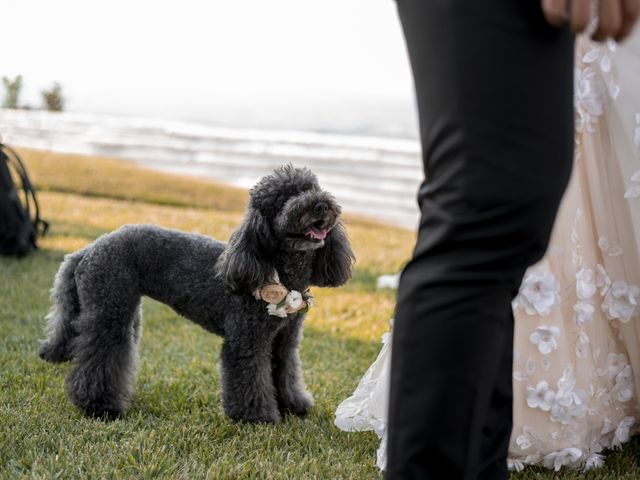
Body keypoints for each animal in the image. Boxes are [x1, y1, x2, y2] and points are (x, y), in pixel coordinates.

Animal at [37, 167, 356, 422]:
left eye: (311, 187)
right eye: (284, 199)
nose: (320, 205)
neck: (275, 267)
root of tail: (88, 249)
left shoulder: (285, 339)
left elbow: (285, 371)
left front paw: (293, 405)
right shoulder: (246, 340)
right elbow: (249, 377)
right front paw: (256, 416)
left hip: (123, 311)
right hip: (109, 311)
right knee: (100, 357)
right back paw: (99, 406)